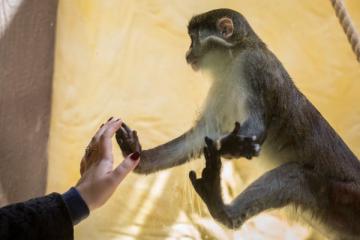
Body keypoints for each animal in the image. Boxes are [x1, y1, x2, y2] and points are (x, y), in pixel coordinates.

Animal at [117, 8, 360, 239]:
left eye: (193, 39)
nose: (187, 52)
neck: (237, 52)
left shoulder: (252, 66)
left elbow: (255, 129)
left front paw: (230, 146)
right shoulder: (223, 82)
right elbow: (201, 134)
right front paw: (139, 156)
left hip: (345, 197)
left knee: (299, 177)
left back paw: (224, 212)